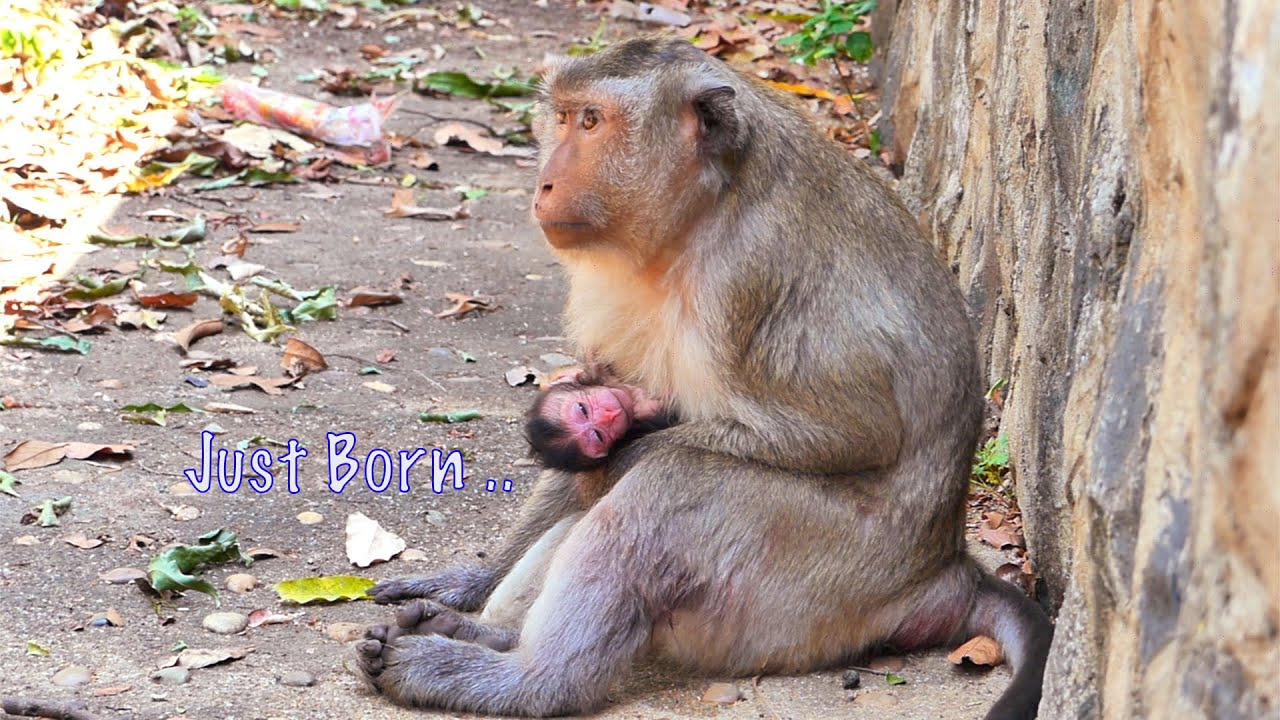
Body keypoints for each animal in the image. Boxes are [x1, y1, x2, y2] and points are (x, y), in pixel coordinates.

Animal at [359, 36, 1052, 720]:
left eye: (592, 121)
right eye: (562, 117)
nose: (545, 181)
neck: (702, 213)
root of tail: (944, 569)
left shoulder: (753, 271)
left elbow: (852, 435)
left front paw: (621, 455)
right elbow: (593, 421)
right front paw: (469, 581)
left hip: (822, 586)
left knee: (671, 483)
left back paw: (527, 679)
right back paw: (477, 633)